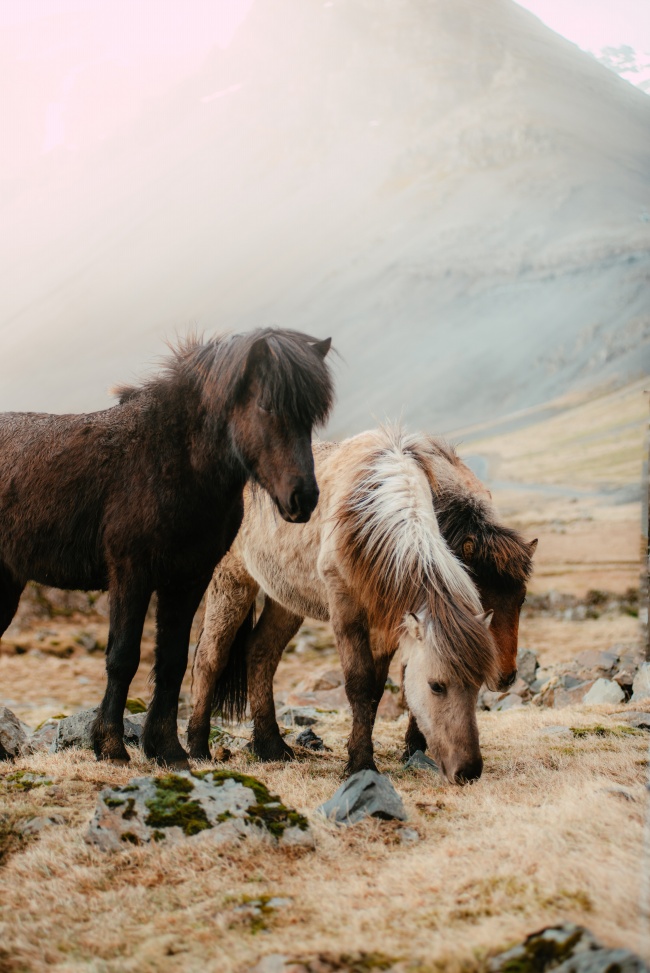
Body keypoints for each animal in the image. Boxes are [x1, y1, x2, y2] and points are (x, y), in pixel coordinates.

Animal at [0, 328, 333, 766]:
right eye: (266, 405)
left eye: (311, 416)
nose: (303, 498)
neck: (168, 460)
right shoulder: (131, 575)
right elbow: (123, 658)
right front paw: (110, 745)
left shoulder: (188, 580)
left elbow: (172, 661)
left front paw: (167, 749)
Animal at [188, 427, 501, 783]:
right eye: (436, 685)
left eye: (477, 686)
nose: (468, 771)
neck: (370, 515)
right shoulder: (346, 611)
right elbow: (359, 684)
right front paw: (362, 764)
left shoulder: (384, 623)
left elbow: (376, 689)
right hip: (231, 581)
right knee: (209, 658)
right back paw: (197, 748)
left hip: (287, 599)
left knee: (260, 652)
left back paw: (271, 747)